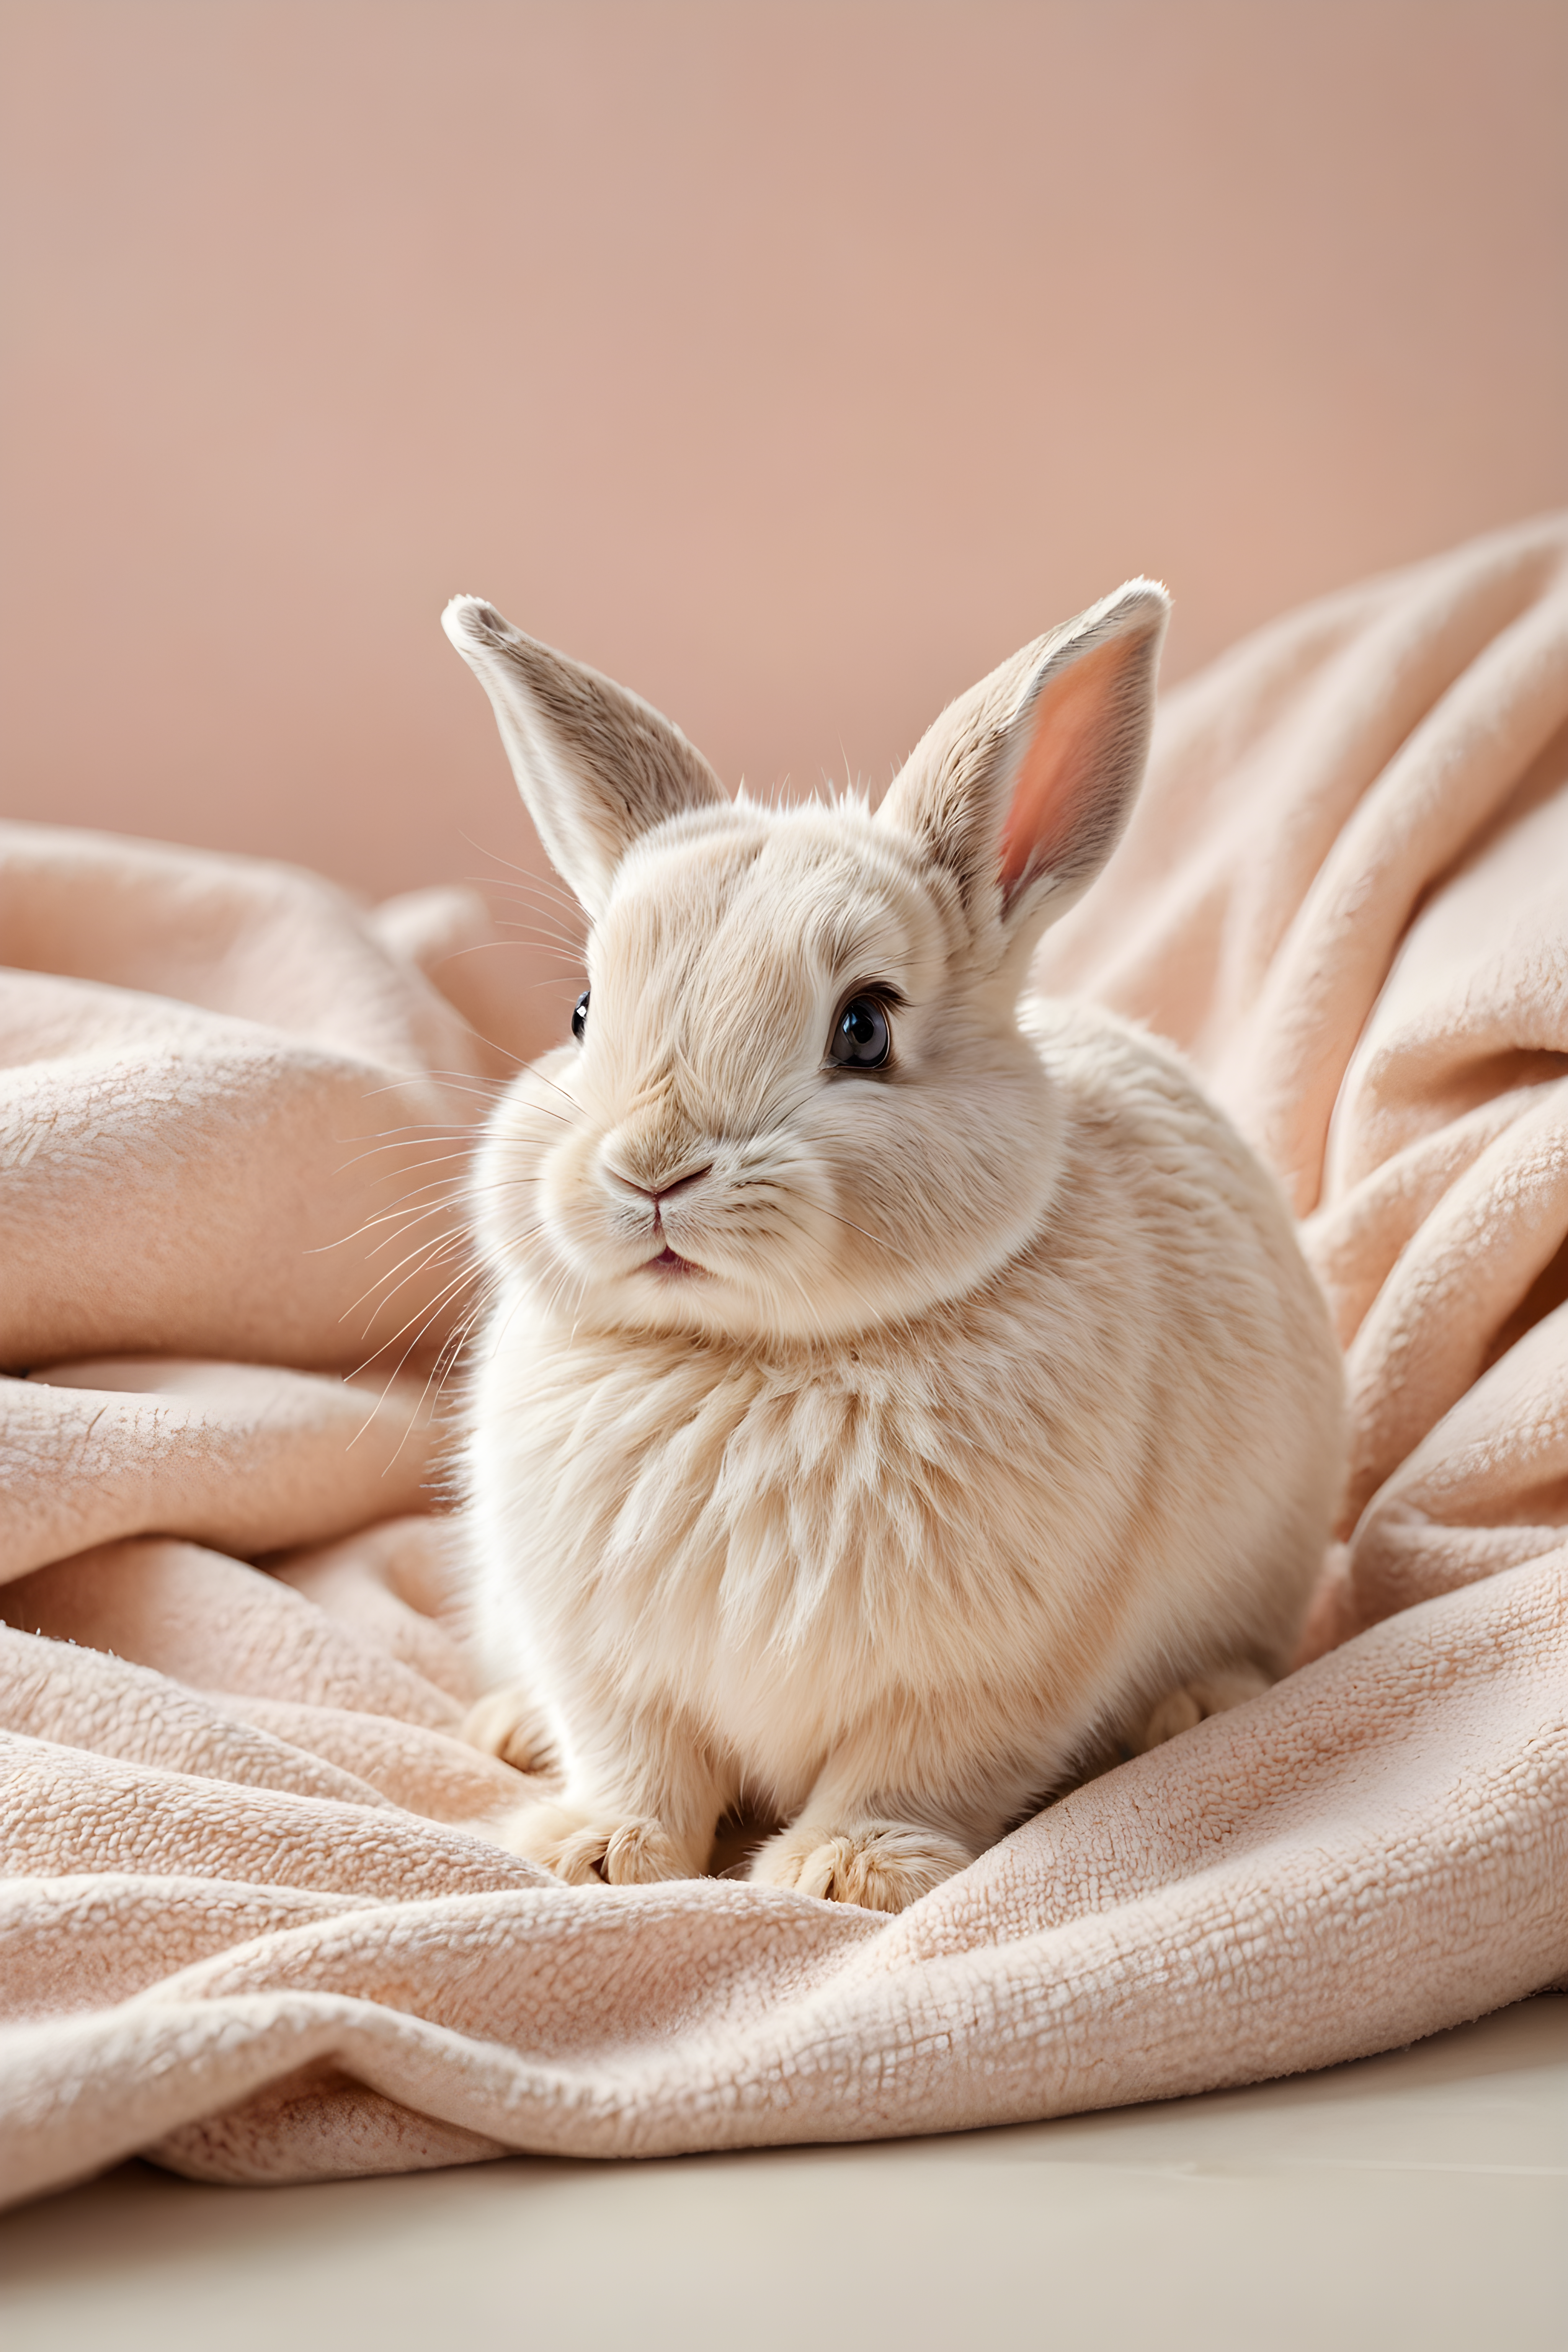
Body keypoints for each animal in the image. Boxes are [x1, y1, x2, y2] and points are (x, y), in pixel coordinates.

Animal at [442, 578, 1346, 1913]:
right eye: (583, 1014)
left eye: (863, 1028)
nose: (653, 1169)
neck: (754, 1362)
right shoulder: (606, 1663)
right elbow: (636, 1760)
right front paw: (598, 1855)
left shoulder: (985, 1675)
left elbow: (913, 1768)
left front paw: (846, 1874)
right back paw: (506, 1731)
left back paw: (1192, 1710)